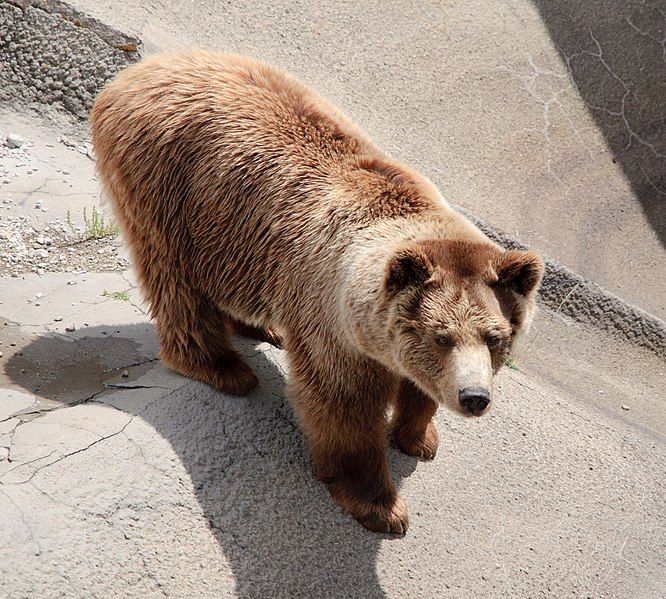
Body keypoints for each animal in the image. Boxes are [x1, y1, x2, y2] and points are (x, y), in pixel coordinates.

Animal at [89, 51, 544, 536]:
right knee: (174, 278)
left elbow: (416, 389)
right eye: (441, 336)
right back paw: (221, 367)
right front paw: (380, 505)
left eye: (496, 337)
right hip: (170, 186)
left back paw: (261, 327)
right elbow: (342, 404)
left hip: (230, 234)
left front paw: (419, 437)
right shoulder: (333, 321)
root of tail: (142, 68)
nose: (474, 397)